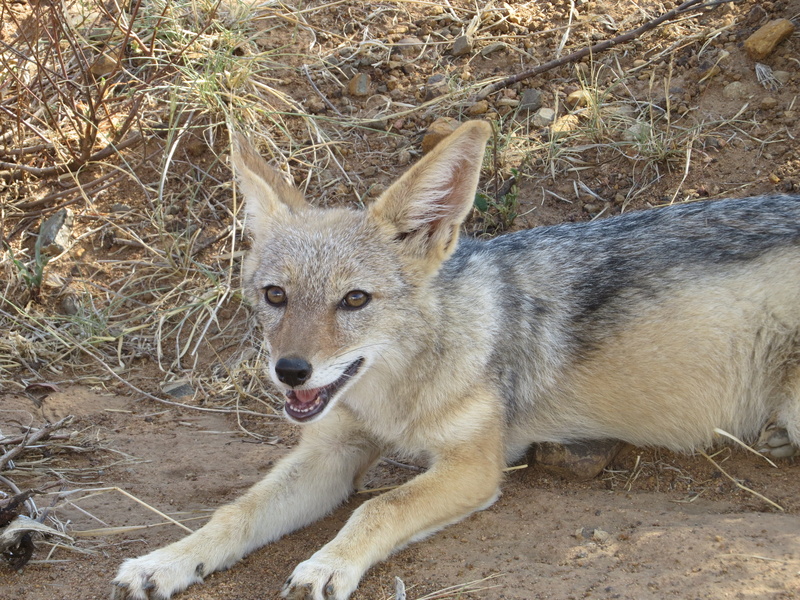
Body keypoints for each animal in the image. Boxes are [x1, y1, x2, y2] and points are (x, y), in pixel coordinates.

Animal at [113, 120, 800, 600]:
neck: (397, 397)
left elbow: (378, 506)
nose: (291, 372)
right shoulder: (331, 453)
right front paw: (166, 561)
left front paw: (329, 563)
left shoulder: (474, 468)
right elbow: (237, 511)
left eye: (354, 299)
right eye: (275, 296)